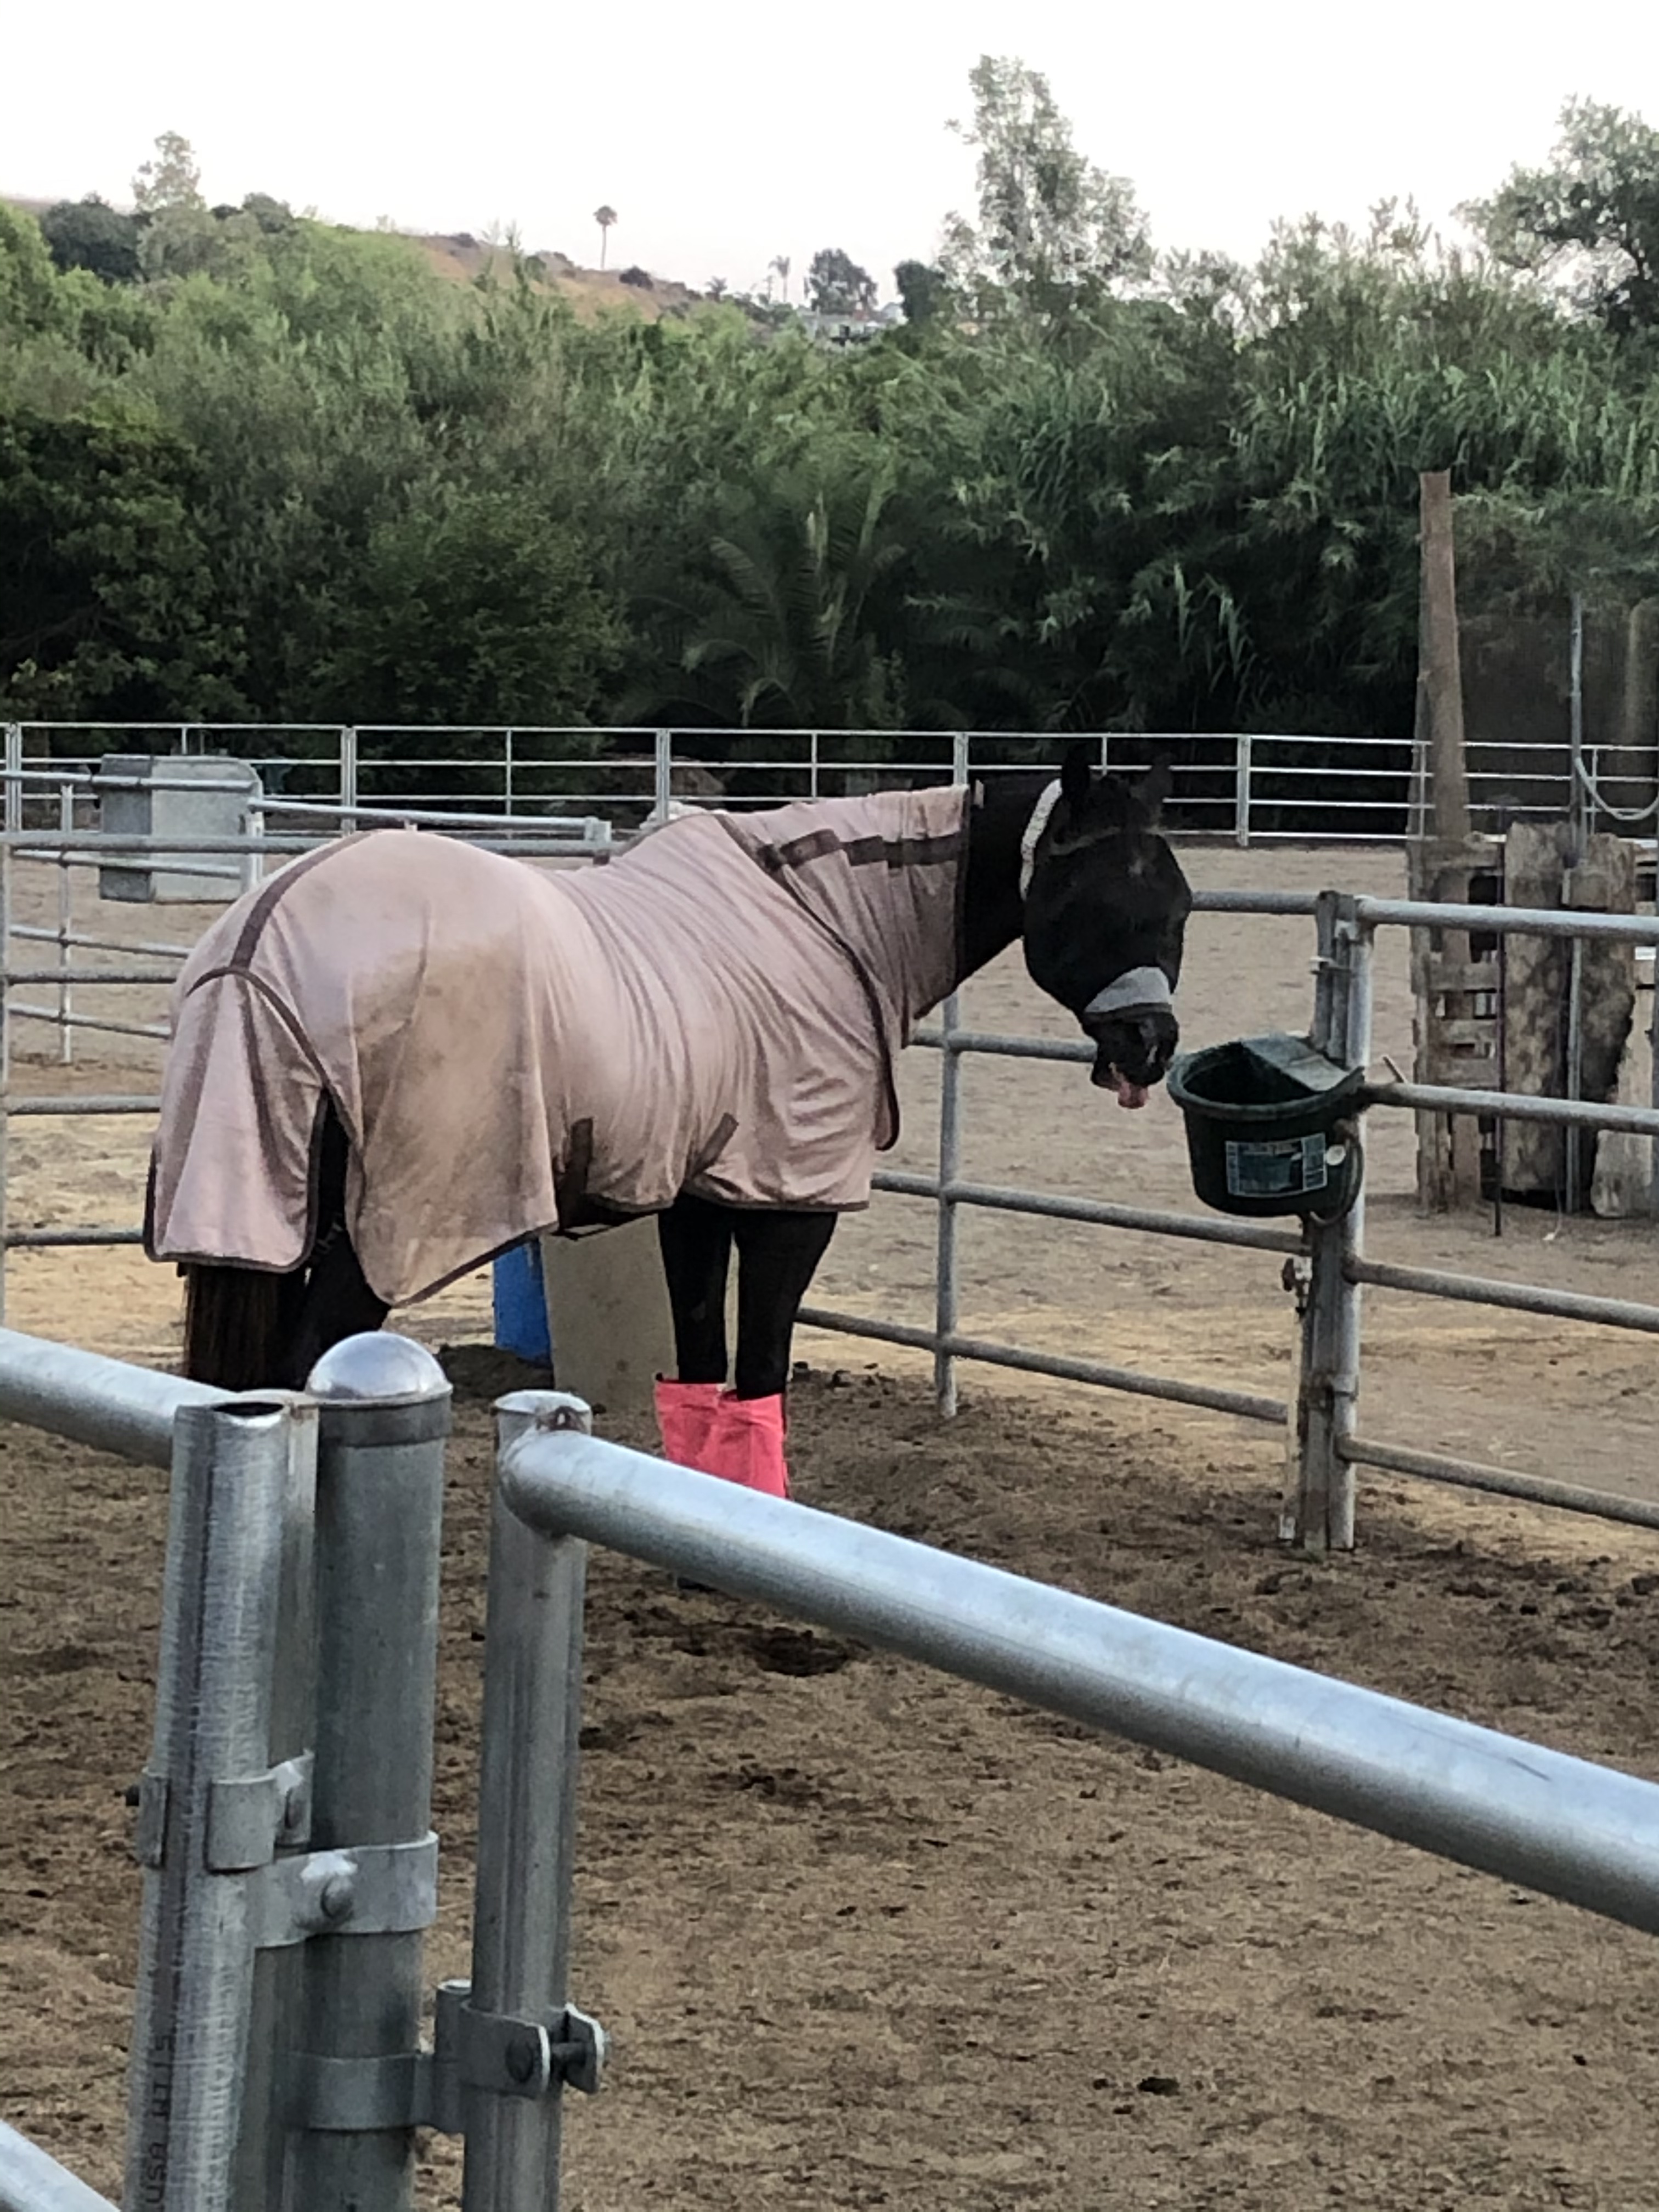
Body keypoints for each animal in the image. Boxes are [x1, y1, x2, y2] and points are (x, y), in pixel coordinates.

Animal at [147, 742, 1192, 1497]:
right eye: (1083, 894)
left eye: (1177, 904)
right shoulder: (790, 1204)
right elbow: (761, 1376)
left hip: (265, 1206)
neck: (820, 917)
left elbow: (700, 1378)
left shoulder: (700, 1198)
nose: (1147, 1045)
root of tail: (263, 941)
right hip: (386, 1229)